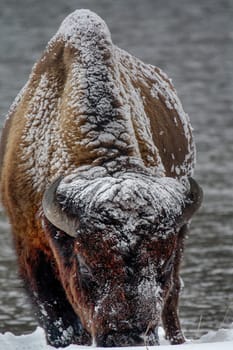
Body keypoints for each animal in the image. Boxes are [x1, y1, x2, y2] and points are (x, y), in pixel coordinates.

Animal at [0, 8, 202, 348]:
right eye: (86, 268)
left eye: (160, 268)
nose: (128, 336)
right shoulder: (29, 243)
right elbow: (56, 313)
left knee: (173, 302)